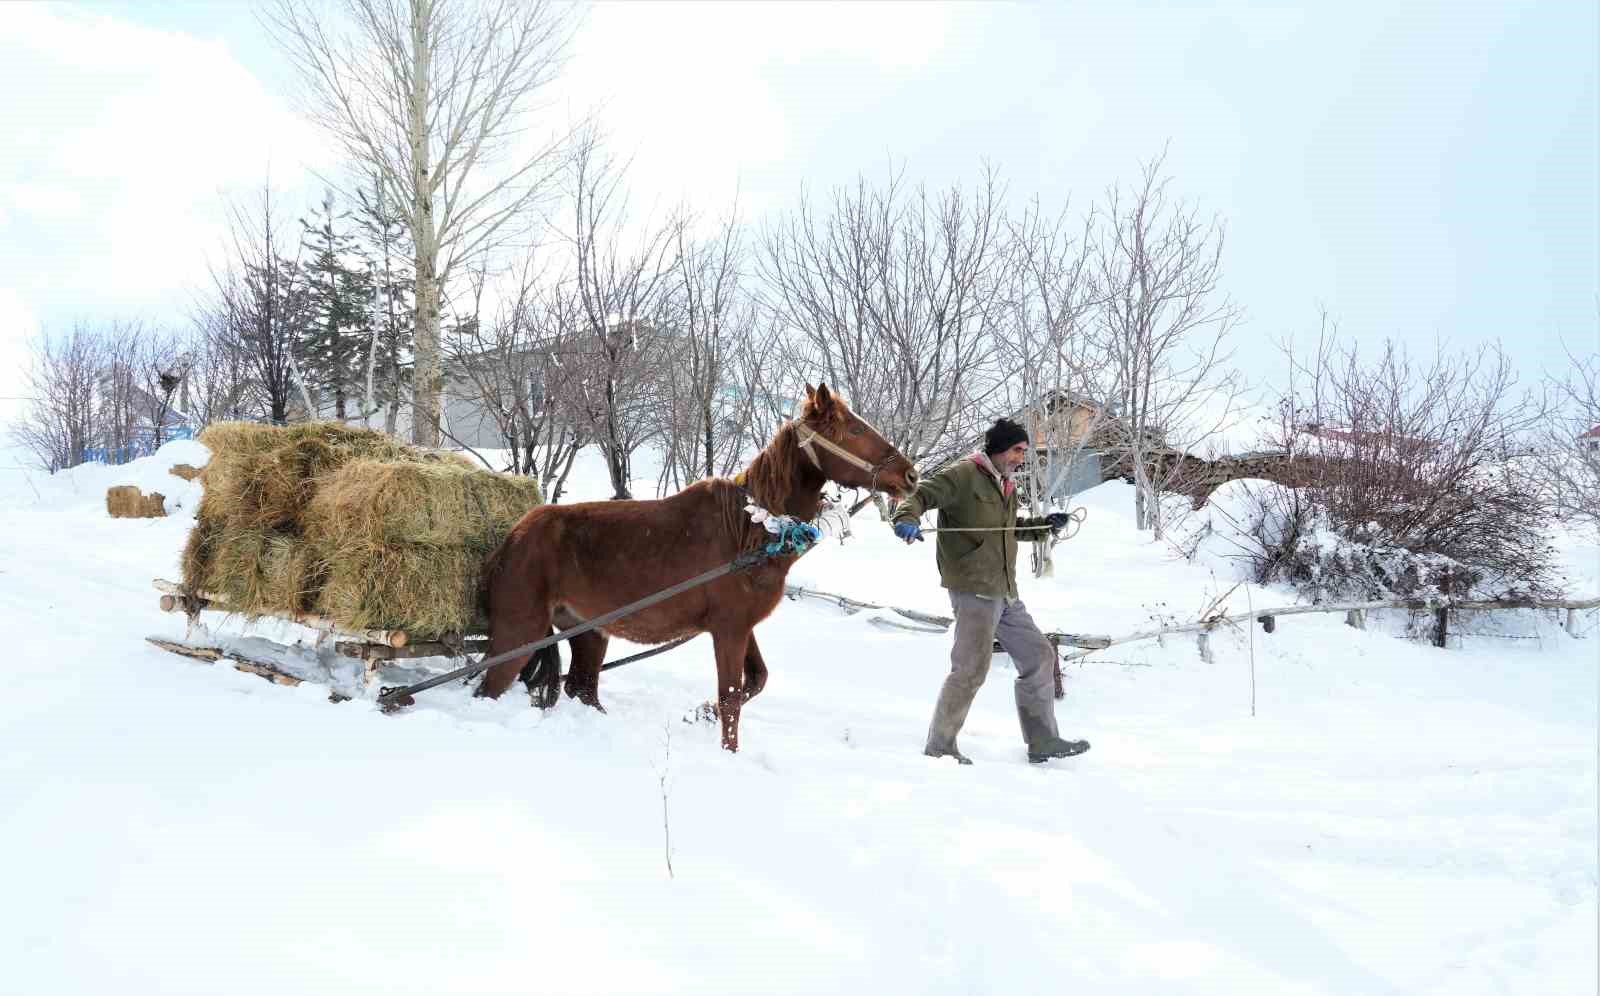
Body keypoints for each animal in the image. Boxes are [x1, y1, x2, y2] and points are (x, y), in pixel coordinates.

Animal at [476, 385, 915, 752]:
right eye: (854, 429)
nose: (910, 475)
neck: (752, 530)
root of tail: (513, 537)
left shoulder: (742, 626)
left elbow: (756, 680)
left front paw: (700, 713)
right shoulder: (729, 630)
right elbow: (731, 696)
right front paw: (728, 751)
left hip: (587, 633)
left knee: (582, 689)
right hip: (519, 634)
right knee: (489, 689)